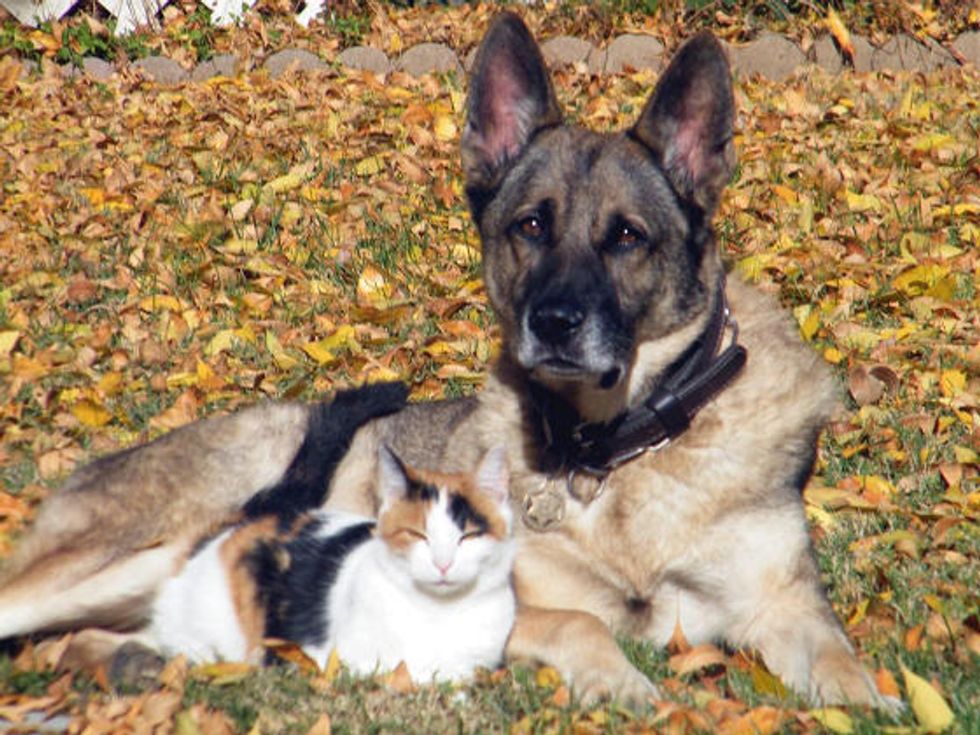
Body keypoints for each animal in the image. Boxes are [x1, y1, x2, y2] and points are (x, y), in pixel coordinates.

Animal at [149, 446, 516, 680]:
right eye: (417, 534)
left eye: (468, 536)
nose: (443, 564)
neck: (438, 614)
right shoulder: (347, 660)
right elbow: (411, 674)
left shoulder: (477, 663)